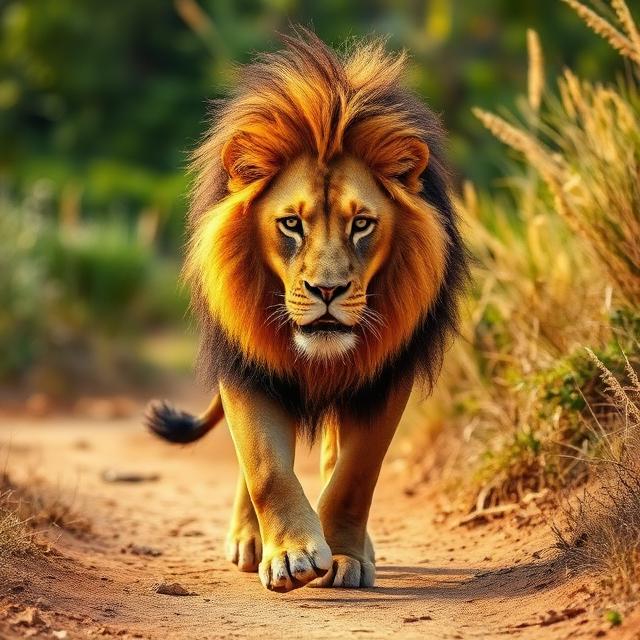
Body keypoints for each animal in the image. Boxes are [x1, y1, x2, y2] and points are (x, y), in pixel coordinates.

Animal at [146, 29, 467, 592]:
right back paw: (249, 540)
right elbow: (265, 465)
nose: (327, 290)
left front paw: (345, 556)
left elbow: (356, 474)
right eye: (292, 224)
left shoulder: (386, 375)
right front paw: (292, 555)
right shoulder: (247, 362)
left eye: (362, 224)